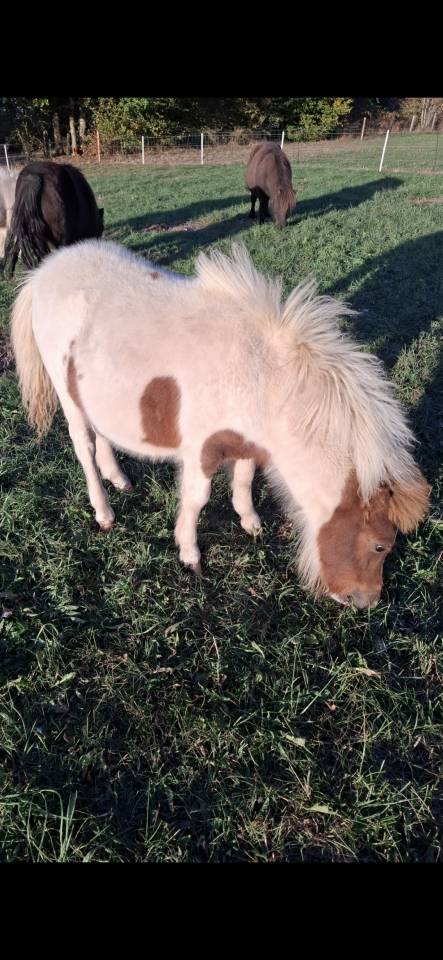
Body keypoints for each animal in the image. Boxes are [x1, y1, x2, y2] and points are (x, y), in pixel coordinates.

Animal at [11, 241, 429, 609]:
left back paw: (120, 478)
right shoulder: (201, 449)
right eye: (380, 545)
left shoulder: (245, 442)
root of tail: (44, 273)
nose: (366, 603)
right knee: (84, 447)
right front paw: (190, 555)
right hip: (68, 399)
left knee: (102, 436)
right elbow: (197, 499)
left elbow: (243, 481)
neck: (263, 379)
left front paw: (252, 524)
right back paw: (104, 512)